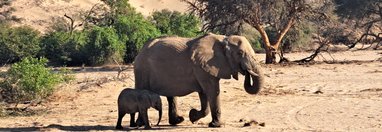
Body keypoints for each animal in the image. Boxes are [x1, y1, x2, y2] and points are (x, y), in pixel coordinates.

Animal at [134, 32, 262, 127]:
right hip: (142, 70)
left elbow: (204, 93)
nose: (246, 71)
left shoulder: (204, 68)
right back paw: (140, 124)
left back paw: (177, 121)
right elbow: (212, 91)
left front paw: (193, 117)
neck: (223, 38)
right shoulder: (202, 67)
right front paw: (217, 125)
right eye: (240, 53)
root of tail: (141, 50)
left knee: (171, 97)